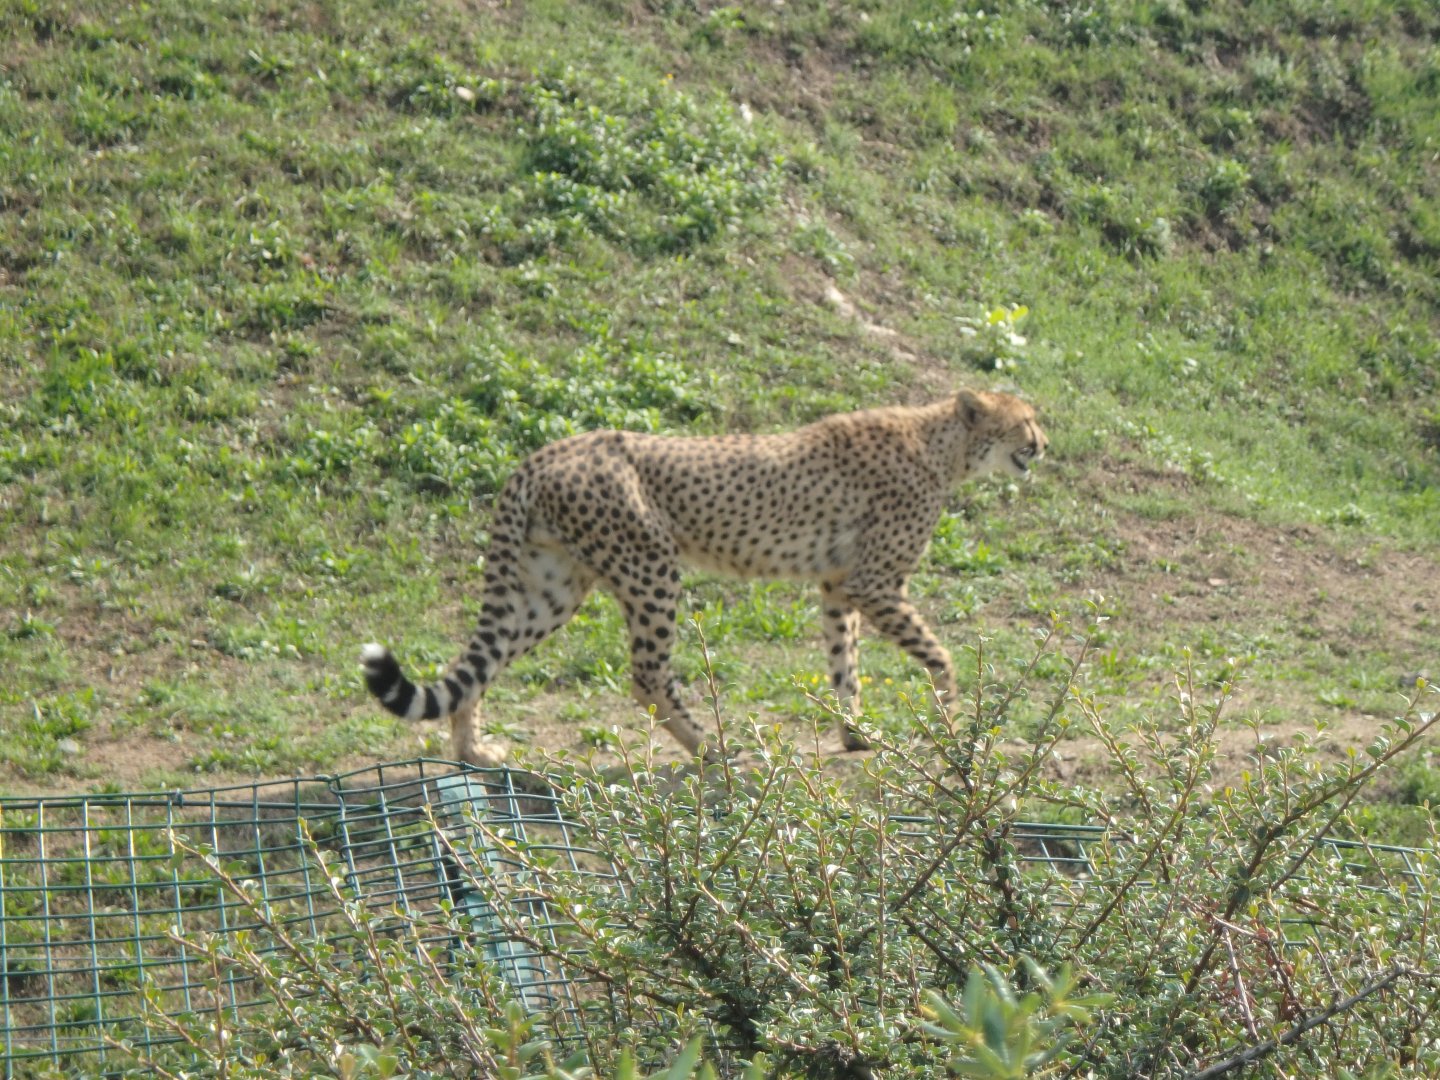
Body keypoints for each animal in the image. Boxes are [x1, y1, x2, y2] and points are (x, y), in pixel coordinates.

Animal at [361, 387, 1047, 765]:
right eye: (1025, 420)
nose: (1043, 444)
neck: (942, 445)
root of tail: (546, 450)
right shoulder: (874, 583)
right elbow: (939, 654)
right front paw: (953, 719)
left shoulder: (837, 584)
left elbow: (844, 664)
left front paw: (855, 734)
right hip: (649, 567)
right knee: (646, 675)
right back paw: (711, 749)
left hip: (553, 586)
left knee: (477, 661)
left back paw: (473, 751)